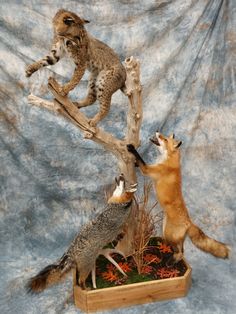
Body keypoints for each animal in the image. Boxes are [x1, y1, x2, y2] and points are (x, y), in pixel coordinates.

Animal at [127, 132, 230, 262]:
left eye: (165, 139)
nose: (157, 132)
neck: (168, 160)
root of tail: (188, 222)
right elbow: (140, 162)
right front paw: (135, 163)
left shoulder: (148, 170)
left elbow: (141, 160)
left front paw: (132, 149)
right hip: (169, 232)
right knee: (182, 251)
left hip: (168, 234)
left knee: (180, 252)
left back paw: (170, 262)